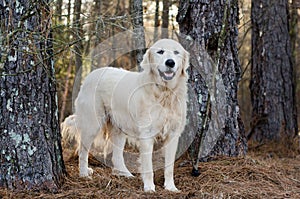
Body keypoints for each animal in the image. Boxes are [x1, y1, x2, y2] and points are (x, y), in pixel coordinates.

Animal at [61, 38, 189, 191]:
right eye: (160, 52)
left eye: (176, 52)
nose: (170, 62)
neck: (164, 93)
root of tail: (90, 75)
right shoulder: (147, 135)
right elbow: (148, 166)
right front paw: (149, 188)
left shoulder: (173, 134)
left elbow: (169, 167)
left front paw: (170, 187)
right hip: (92, 124)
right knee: (82, 151)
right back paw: (84, 173)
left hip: (118, 129)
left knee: (116, 156)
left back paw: (125, 174)